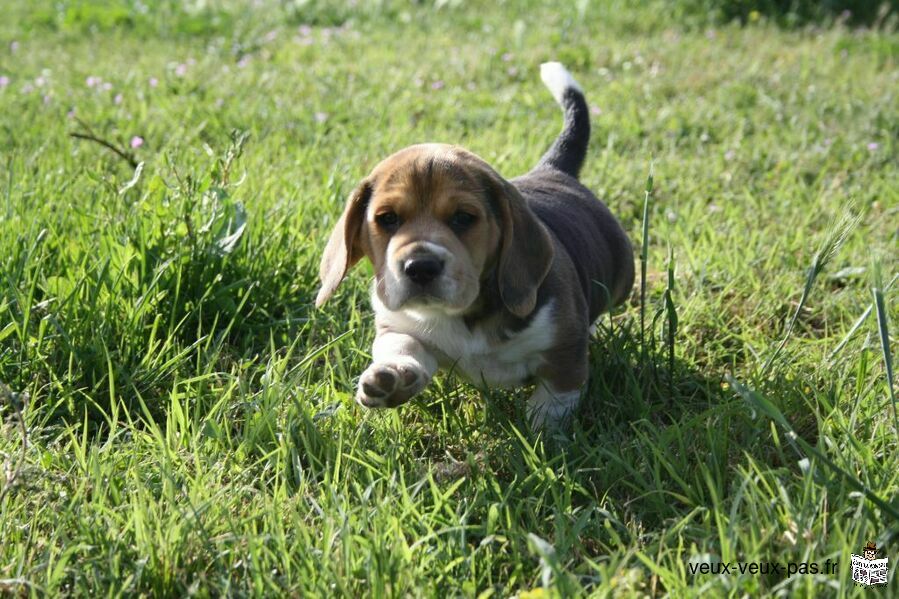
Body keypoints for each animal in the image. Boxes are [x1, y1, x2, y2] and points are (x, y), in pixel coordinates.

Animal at [316, 63, 632, 428]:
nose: (419, 267)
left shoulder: (564, 347)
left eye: (463, 218)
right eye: (388, 218)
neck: (461, 315)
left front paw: (541, 430)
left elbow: (556, 393)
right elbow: (401, 344)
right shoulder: (397, 324)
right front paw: (393, 376)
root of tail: (551, 169)